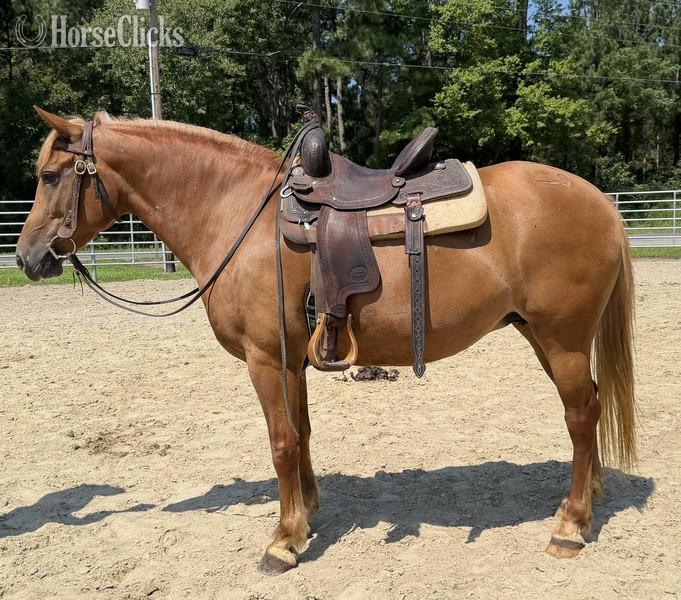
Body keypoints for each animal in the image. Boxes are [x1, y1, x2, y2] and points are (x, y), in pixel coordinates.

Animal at [16, 107, 636, 574]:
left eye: (50, 176)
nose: (25, 257)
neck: (237, 214)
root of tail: (601, 202)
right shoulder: (293, 360)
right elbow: (302, 433)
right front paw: (307, 513)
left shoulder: (265, 359)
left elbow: (280, 442)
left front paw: (283, 541)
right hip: (544, 338)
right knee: (591, 407)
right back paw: (588, 500)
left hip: (562, 340)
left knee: (581, 415)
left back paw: (570, 526)